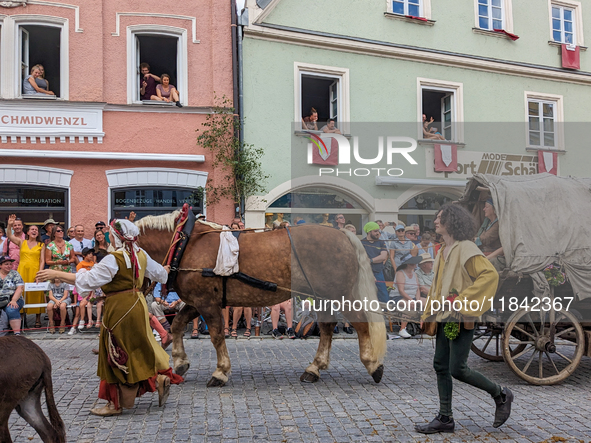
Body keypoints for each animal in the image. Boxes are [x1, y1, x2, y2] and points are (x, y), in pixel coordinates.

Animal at [137, 212, 390, 388]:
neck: (185, 243)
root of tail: (343, 233)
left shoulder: (207, 303)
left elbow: (217, 336)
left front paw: (220, 372)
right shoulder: (197, 302)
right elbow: (178, 325)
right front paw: (180, 362)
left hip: (338, 295)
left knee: (360, 324)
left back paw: (373, 364)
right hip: (322, 297)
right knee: (327, 328)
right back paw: (314, 368)